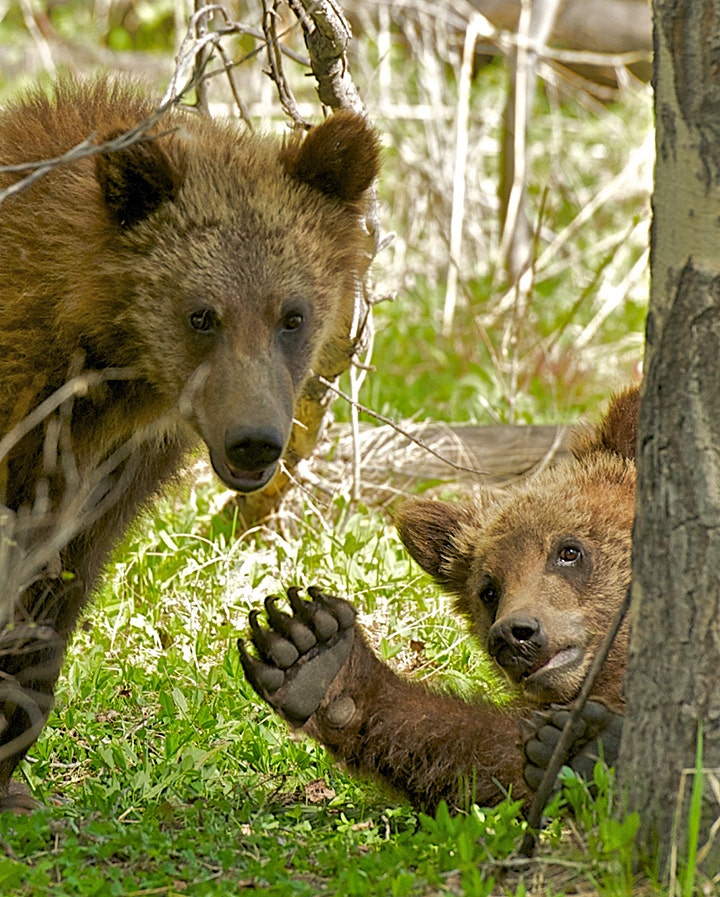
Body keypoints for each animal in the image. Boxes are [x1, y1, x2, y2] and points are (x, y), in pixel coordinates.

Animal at [239, 387, 638, 813]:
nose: (515, 634)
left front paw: (588, 747)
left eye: (569, 550)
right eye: (489, 590)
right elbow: (491, 763)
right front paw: (314, 656)